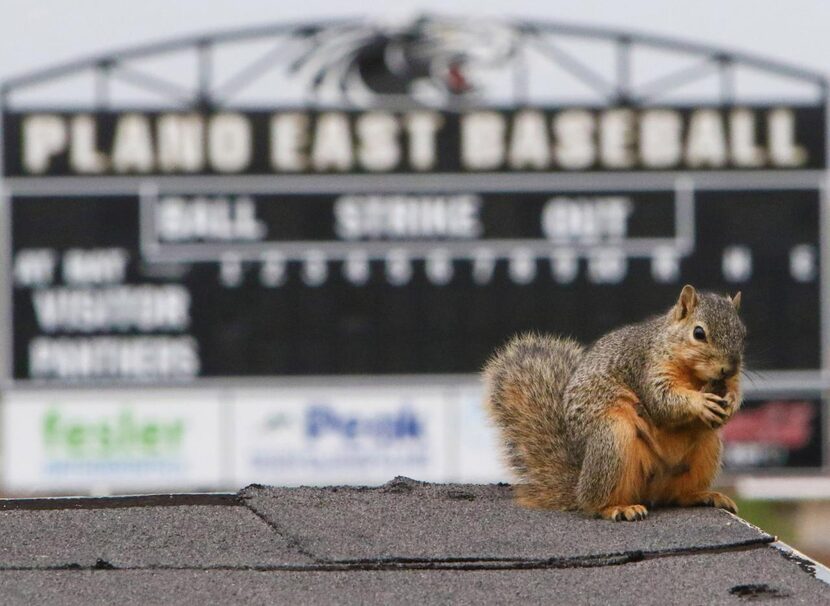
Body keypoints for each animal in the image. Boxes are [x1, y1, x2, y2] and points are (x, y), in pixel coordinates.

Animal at [480, 286, 748, 524]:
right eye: (699, 333)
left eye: (743, 333)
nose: (729, 368)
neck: (694, 375)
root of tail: (579, 485)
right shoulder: (646, 367)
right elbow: (661, 400)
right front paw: (700, 402)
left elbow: (733, 390)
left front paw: (731, 402)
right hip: (613, 438)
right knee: (595, 503)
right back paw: (617, 508)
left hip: (707, 447)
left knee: (677, 496)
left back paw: (704, 495)